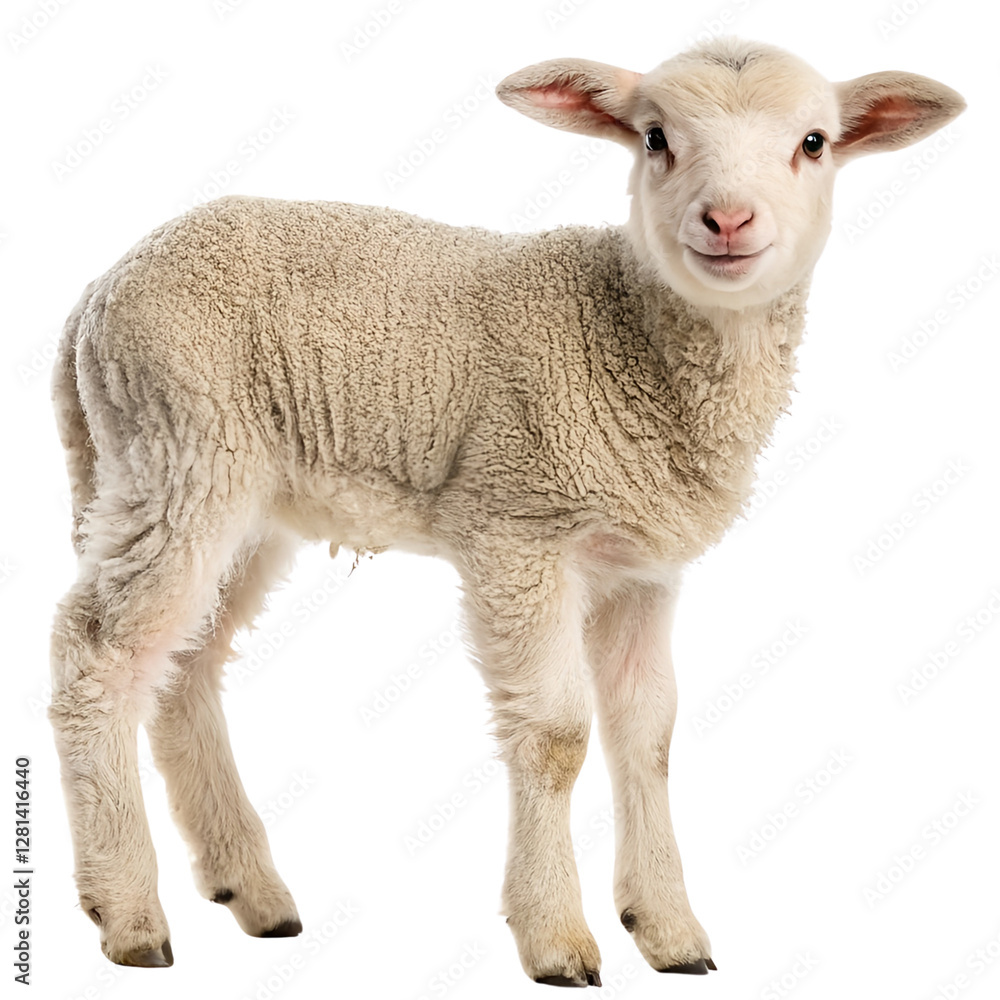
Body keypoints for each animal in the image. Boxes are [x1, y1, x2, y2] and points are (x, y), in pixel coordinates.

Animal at [49, 36, 964, 985]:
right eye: (655, 138)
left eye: (814, 143)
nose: (727, 221)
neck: (631, 337)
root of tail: (97, 293)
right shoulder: (517, 527)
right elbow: (558, 734)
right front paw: (557, 936)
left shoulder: (642, 565)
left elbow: (650, 733)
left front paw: (669, 928)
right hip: (180, 446)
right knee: (99, 652)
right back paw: (128, 913)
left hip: (225, 490)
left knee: (184, 663)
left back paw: (252, 891)